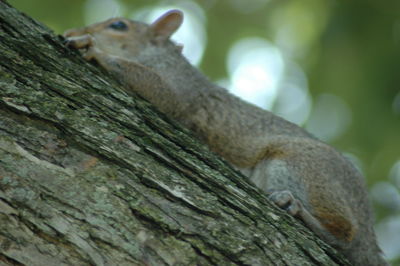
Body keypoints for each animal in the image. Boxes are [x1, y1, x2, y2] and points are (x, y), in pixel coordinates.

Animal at [65, 9, 388, 264]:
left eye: (119, 25)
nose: (72, 31)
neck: (160, 55)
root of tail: (369, 234)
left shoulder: (182, 90)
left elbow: (159, 90)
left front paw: (94, 49)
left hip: (305, 165)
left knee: (344, 233)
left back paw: (296, 208)